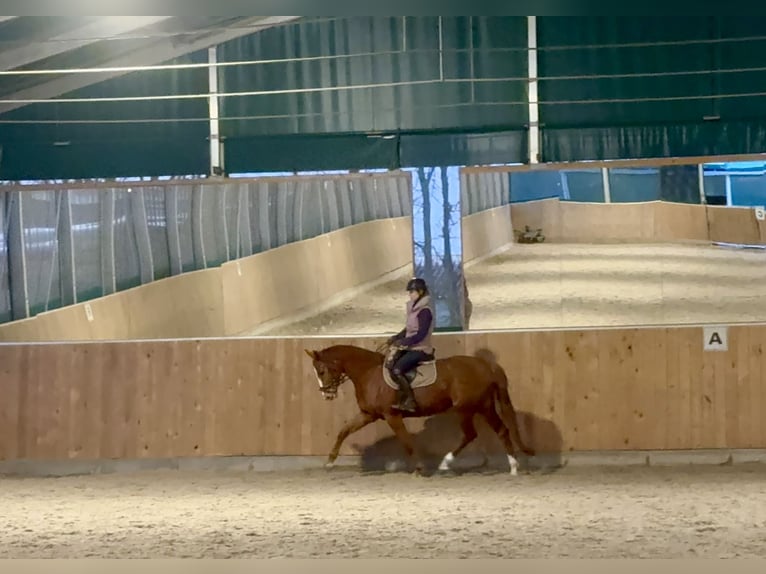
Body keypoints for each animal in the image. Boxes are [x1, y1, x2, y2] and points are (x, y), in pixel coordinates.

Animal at [303, 342, 534, 475]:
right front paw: (329, 463)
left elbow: (406, 441)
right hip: (481, 406)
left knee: (476, 433)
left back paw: (447, 464)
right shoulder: (368, 415)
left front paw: (420, 469)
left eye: (322, 370)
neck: (369, 373)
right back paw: (512, 466)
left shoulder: (391, 415)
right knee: (497, 431)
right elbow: (343, 431)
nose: (327, 395)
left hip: (469, 408)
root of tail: (486, 365)